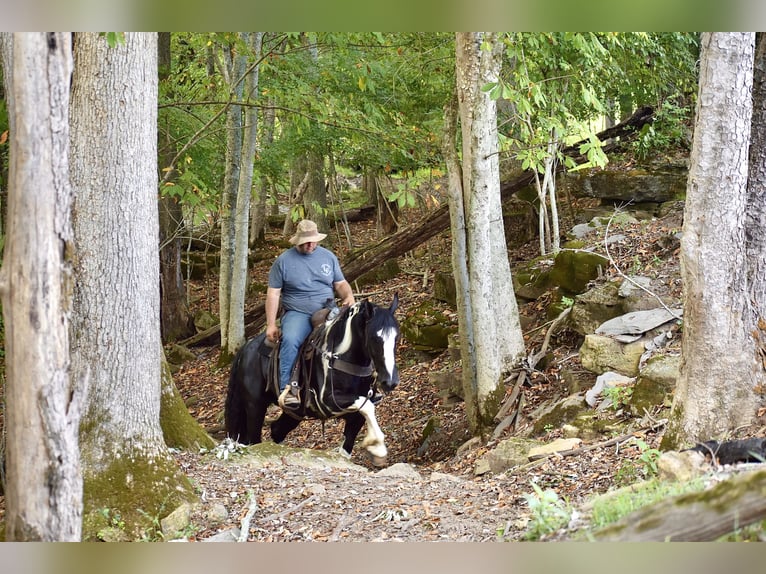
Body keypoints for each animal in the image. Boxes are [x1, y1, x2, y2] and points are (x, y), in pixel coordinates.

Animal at [225, 294, 402, 466]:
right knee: (254, 439)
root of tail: (246, 349)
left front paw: (376, 450)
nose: (390, 381)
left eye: (396, 337)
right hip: (254, 406)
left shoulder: (358, 411)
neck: (341, 357)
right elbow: (367, 407)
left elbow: (351, 437)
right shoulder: (328, 401)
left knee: (277, 429)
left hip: (294, 412)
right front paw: (378, 447)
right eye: (374, 338)